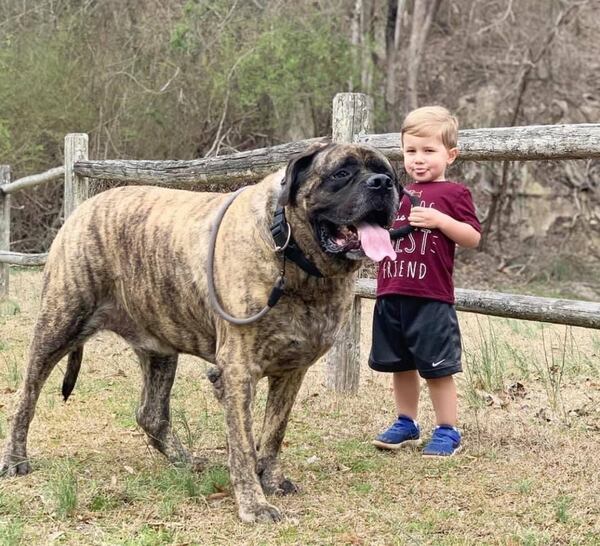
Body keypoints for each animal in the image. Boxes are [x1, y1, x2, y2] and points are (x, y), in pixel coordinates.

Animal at [3, 142, 404, 520]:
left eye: (387, 173)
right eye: (341, 173)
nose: (381, 184)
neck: (295, 259)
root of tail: (84, 207)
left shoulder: (292, 371)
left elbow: (274, 431)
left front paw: (272, 480)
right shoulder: (239, 369)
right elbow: (242, 443)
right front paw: (253, 504)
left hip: (160, 347)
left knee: (151, 413)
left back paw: (184, 460)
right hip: (59, 322)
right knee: (26, 397)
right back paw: (15, 459)